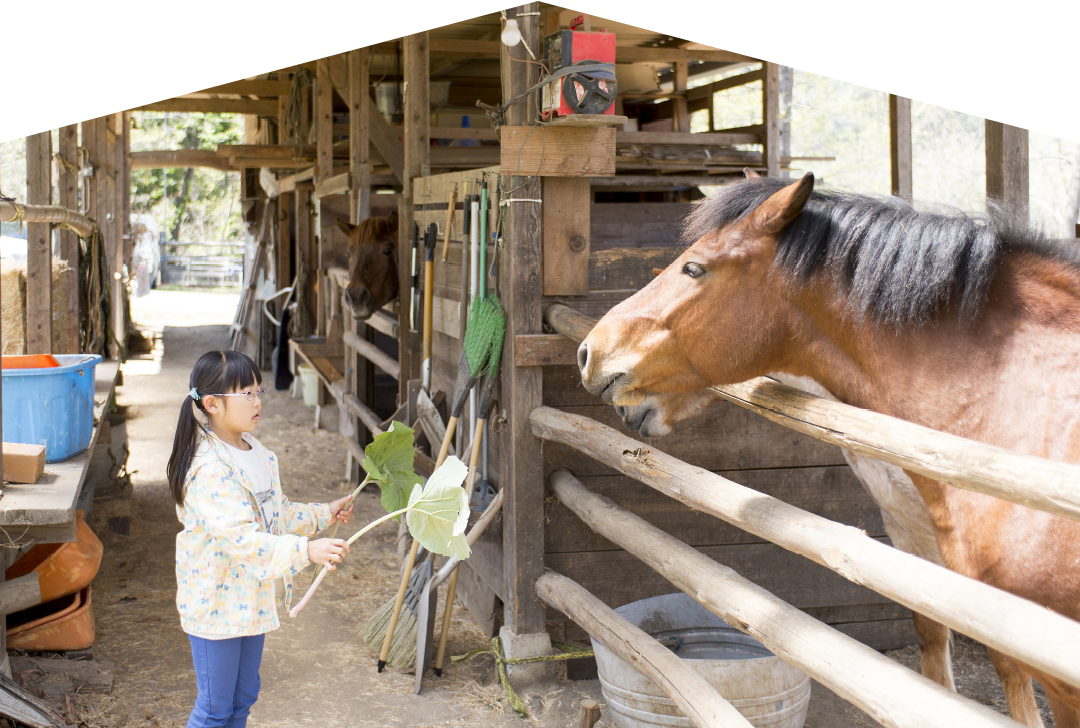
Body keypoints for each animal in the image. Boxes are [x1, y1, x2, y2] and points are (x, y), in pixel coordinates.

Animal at [578, 171, 1080, 725]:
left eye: (694, 268)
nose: (590, 351)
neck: (1010, 394)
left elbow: (1007, 665)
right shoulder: (909, 527)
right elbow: (932, 633)